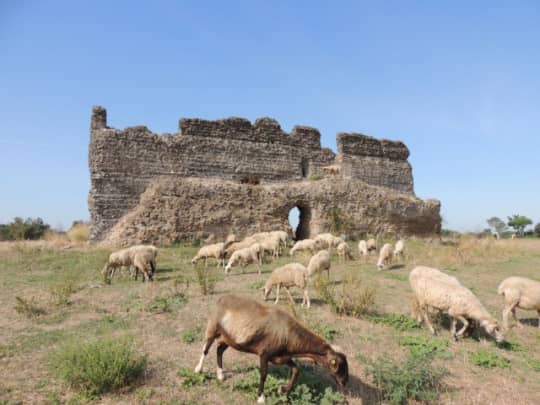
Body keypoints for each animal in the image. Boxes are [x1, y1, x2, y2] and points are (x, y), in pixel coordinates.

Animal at [194, 292, 350, 402]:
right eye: (338, 365)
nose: (345, 382)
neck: (288, 333)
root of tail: (221, 298)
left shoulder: (281, 357)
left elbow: (296, 370)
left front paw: (283, 390)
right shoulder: (265, 353)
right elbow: (263, 374)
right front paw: (260, 397)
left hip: (229, 338)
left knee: (219, 350)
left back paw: (220, 375)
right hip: (213, 327)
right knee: (205, 348)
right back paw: (198, 369)